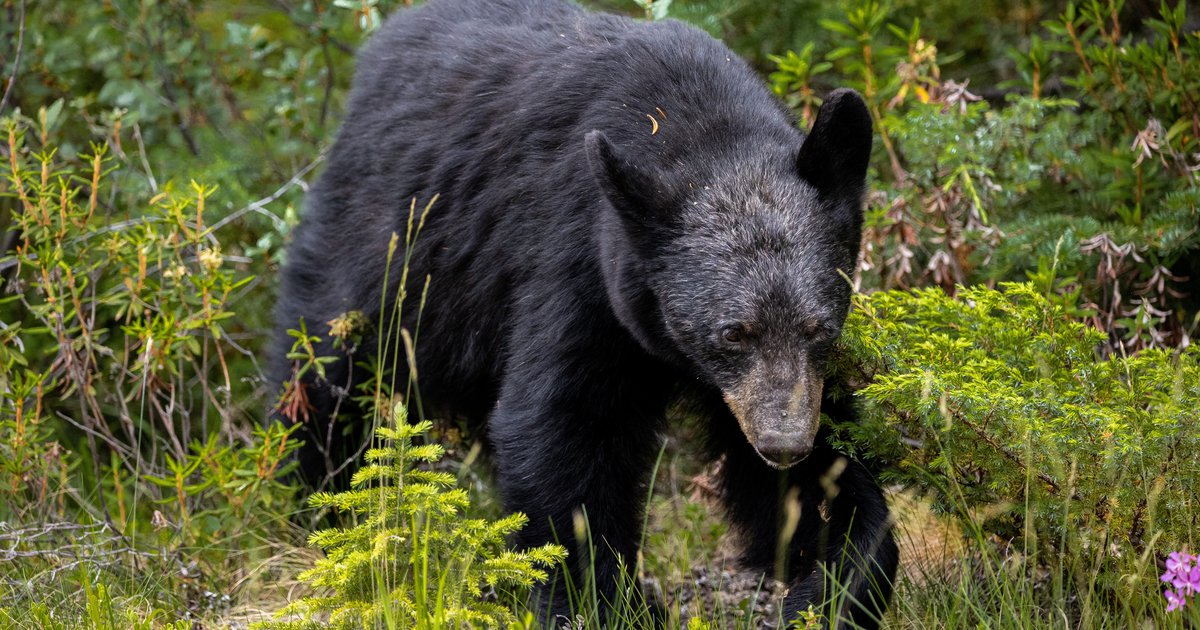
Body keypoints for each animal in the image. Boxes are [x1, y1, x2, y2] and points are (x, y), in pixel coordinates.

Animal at [269, 0, 898, 626]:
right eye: (732, 333)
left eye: (820, 328)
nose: (783, 443)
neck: (698, 127)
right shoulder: (579, 262)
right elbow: (563, 424)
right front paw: (596, 599)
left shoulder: (779, 382)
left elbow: (818, 476)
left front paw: (833, 581)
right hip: (390, 251)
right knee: (326, 374)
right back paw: (319, 506)